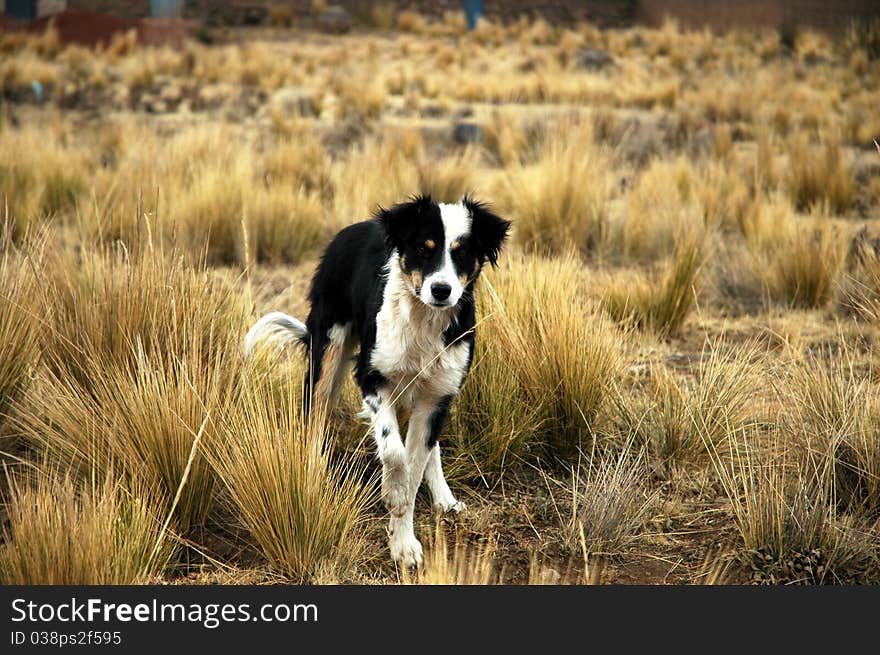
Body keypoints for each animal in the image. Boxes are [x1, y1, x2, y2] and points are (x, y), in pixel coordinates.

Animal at [246, 195, 508, 568]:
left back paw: (444, 497)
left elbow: (414, 467)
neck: (423, 319)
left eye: (462, 252)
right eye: (424, 248)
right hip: (328, 349)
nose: (441, 290)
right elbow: (394, 452)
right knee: (313, 416)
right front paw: (392, 493)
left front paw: (404, 542)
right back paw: (309, 476)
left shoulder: (437, 397)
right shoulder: (372, 378)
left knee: (430, 449)